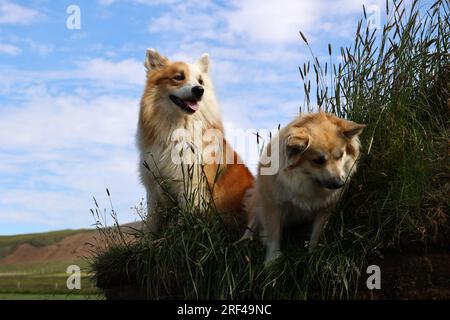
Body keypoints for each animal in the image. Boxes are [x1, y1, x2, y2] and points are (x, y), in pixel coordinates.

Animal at [137, 49, 253, 232]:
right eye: (179, 77)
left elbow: (186, 221)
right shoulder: (154, 188)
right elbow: (152, 223)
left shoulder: (192, 185)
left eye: (200, 81)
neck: (178, 128)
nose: (199, 90)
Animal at [241, 112, 364, 262]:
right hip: (256, 200)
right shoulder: (272, 205)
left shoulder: (325, 209)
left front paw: (313, 256)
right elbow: (273, 235)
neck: (305, 181)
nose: (340, 184)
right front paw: (271, 261)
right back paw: (243, 243)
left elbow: (316, 235)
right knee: (251, 224)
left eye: (340, 155)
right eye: (318, 161)